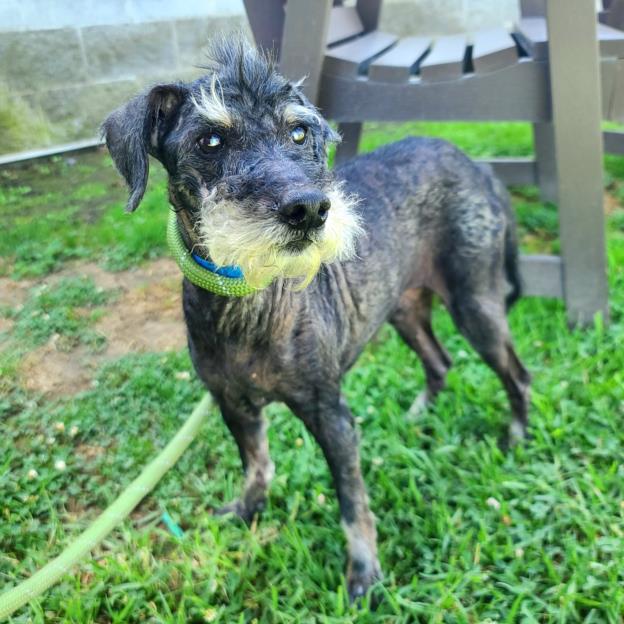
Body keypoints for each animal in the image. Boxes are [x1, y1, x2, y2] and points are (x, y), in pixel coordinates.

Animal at [103, 37, 532, 600]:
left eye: (299, 132)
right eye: (210, 139)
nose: (309, 209)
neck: (249, 303)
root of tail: (479, 167)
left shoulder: (331, 416)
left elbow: (352, 501)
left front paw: (364, 573)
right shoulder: (233, 405)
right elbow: (257, 465)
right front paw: (248, 511)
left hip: (476, 307)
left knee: (516, 373)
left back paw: (516, 435)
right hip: (404, 309)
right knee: (440, 361)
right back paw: (419, 415)